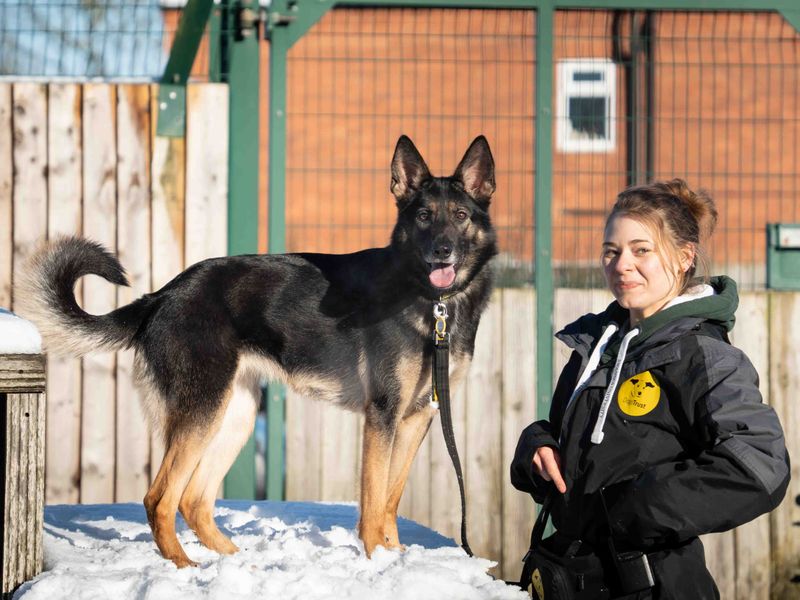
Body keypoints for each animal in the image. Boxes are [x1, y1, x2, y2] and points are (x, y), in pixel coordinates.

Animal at [17, 135, 494, 568]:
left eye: (461, 216)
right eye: (424, 217)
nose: (443, 251)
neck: (435, 302)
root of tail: (162, 295)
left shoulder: (416, 417)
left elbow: (391, 498)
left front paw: (395, 557)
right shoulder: (383, 414)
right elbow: (374, 500)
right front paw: (378, 559)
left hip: (235, 415)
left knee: (193, 500)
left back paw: (230, 559)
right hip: (203, 411)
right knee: (160, 498)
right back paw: (184, 567)